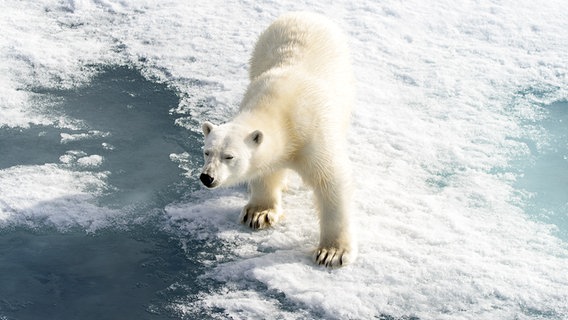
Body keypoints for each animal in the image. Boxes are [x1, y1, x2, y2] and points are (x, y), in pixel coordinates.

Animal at [200, 11, 356, 268]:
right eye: (206, 151)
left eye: (229, 156)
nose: (207, 177)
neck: (281, 107)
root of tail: (305, 14)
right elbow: (266, 171)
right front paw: (258, 214)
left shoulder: (313, 132)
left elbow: (330, 181)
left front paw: (331, 252)